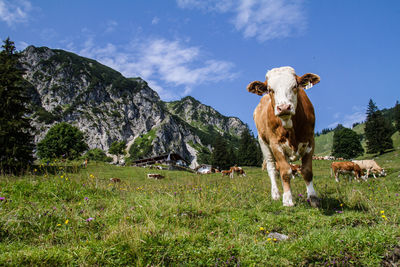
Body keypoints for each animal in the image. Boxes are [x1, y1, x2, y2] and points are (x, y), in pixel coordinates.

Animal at [248, 66, 320, 207]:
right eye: (270, 89)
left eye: (295, 86)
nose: (284, 107)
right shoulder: (275, 144)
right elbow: (285, 172)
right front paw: (287, 199)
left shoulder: (310, 140)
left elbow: (307, 171)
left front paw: (313, 198)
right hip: (263, 143)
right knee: (273, 169)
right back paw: (276, 194)